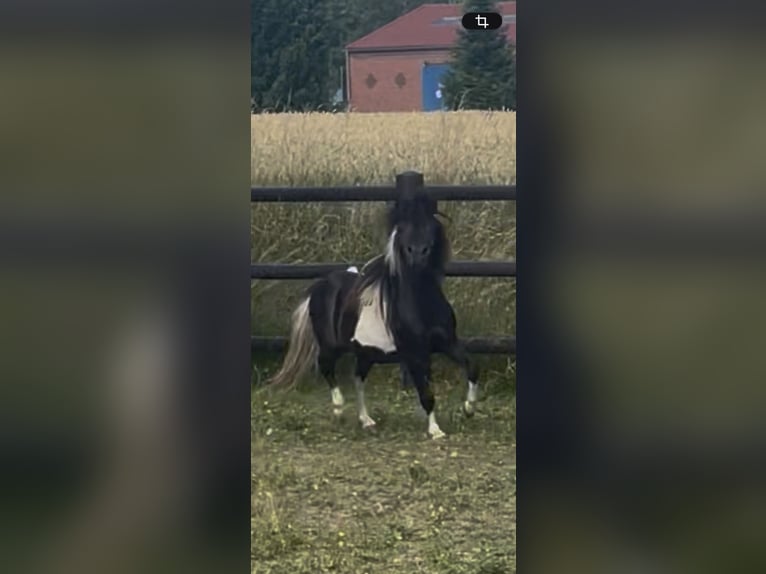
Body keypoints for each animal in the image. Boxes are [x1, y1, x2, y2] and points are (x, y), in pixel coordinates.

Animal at [268, 187, 479, 439]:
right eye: (403, 227)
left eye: (430, 223)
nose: (417, 254)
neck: (421, 302)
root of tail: (320, 285)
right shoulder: (415, 353)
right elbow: (426, 393)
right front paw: (435, 431)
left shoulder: (447, 342)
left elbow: (472, 367)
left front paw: (468, 409)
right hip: (331, 345)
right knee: (326, 366)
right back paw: (339, 409)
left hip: (365, 353)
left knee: (358, 378)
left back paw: (366, 420)